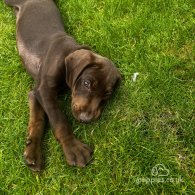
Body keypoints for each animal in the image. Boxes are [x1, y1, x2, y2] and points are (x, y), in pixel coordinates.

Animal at [4, 0, 120, 171]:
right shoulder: (44, 90)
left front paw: (32, 151)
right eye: (86, 83)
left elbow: (38, 119)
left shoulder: (35, 91)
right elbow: (58, 119)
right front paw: (72, 147)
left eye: (107, 94)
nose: (86, 119)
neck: (68, 53)